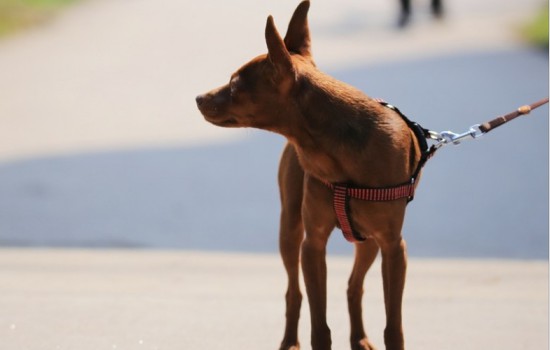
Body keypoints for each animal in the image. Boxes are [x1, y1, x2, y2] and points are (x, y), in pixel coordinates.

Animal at [196, 1, 424, 348]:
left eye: (235, 85)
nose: (198, 99)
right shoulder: (313, 244)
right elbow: (319, 324)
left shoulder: (393, 247)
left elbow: (393, 325)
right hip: (290, 230)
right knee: (294, 291)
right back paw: (290, 340)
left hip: (368, 241)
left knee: (354, 286)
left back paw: (359, 338)